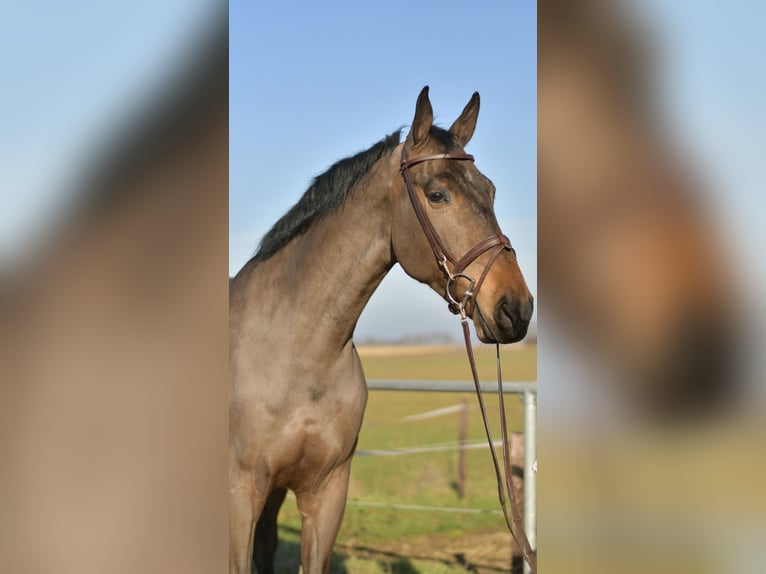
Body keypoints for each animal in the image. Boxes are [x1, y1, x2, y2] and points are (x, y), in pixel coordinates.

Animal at [228, 86, 533, 574]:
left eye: (490, 189)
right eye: (437, 194)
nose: (516, 308)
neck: (293, 354)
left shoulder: (326, 492)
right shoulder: (241, 494)